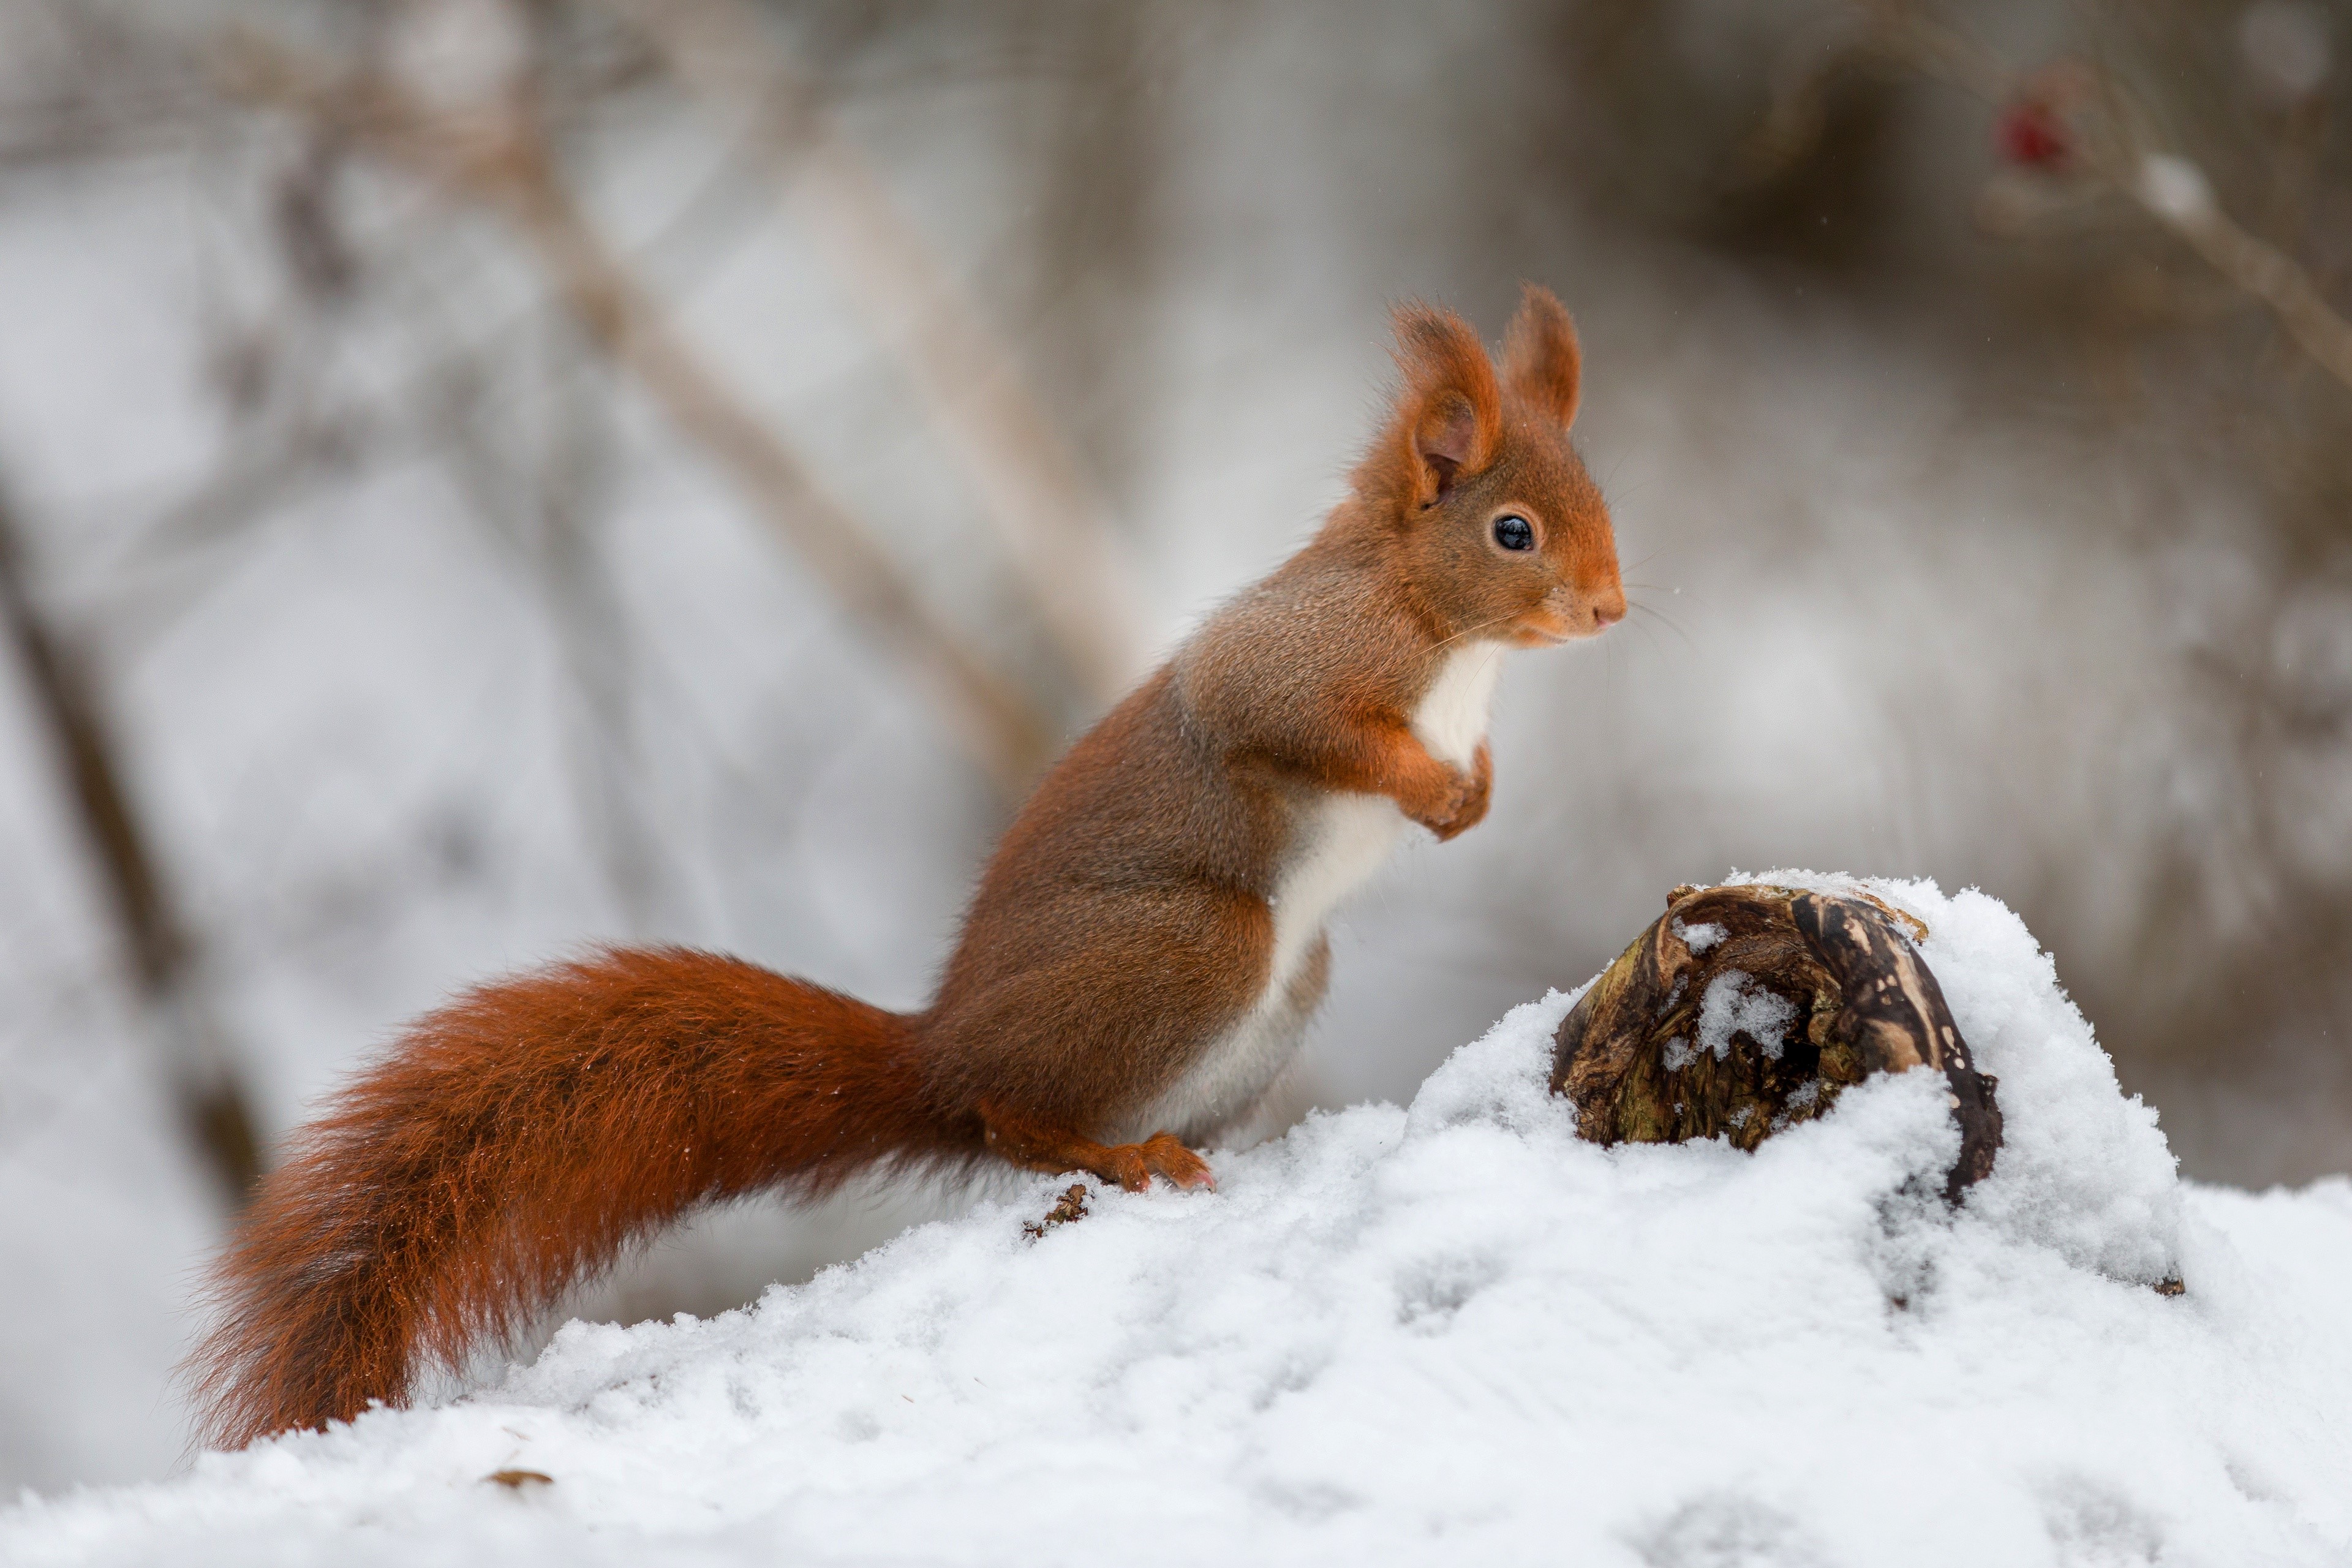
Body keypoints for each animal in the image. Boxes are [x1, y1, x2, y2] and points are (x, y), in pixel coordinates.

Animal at [188, 284, 1625, 1448]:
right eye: (1512, 531)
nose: (1613, 609)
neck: (1447, 635)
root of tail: (935, 1050)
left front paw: (1473, 798)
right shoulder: (1301, 656)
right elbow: (1284, 716)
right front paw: (1430, 787)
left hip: (1283, 986)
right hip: (1198, 947)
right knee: (1013, 1117)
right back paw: (1116, 1154)